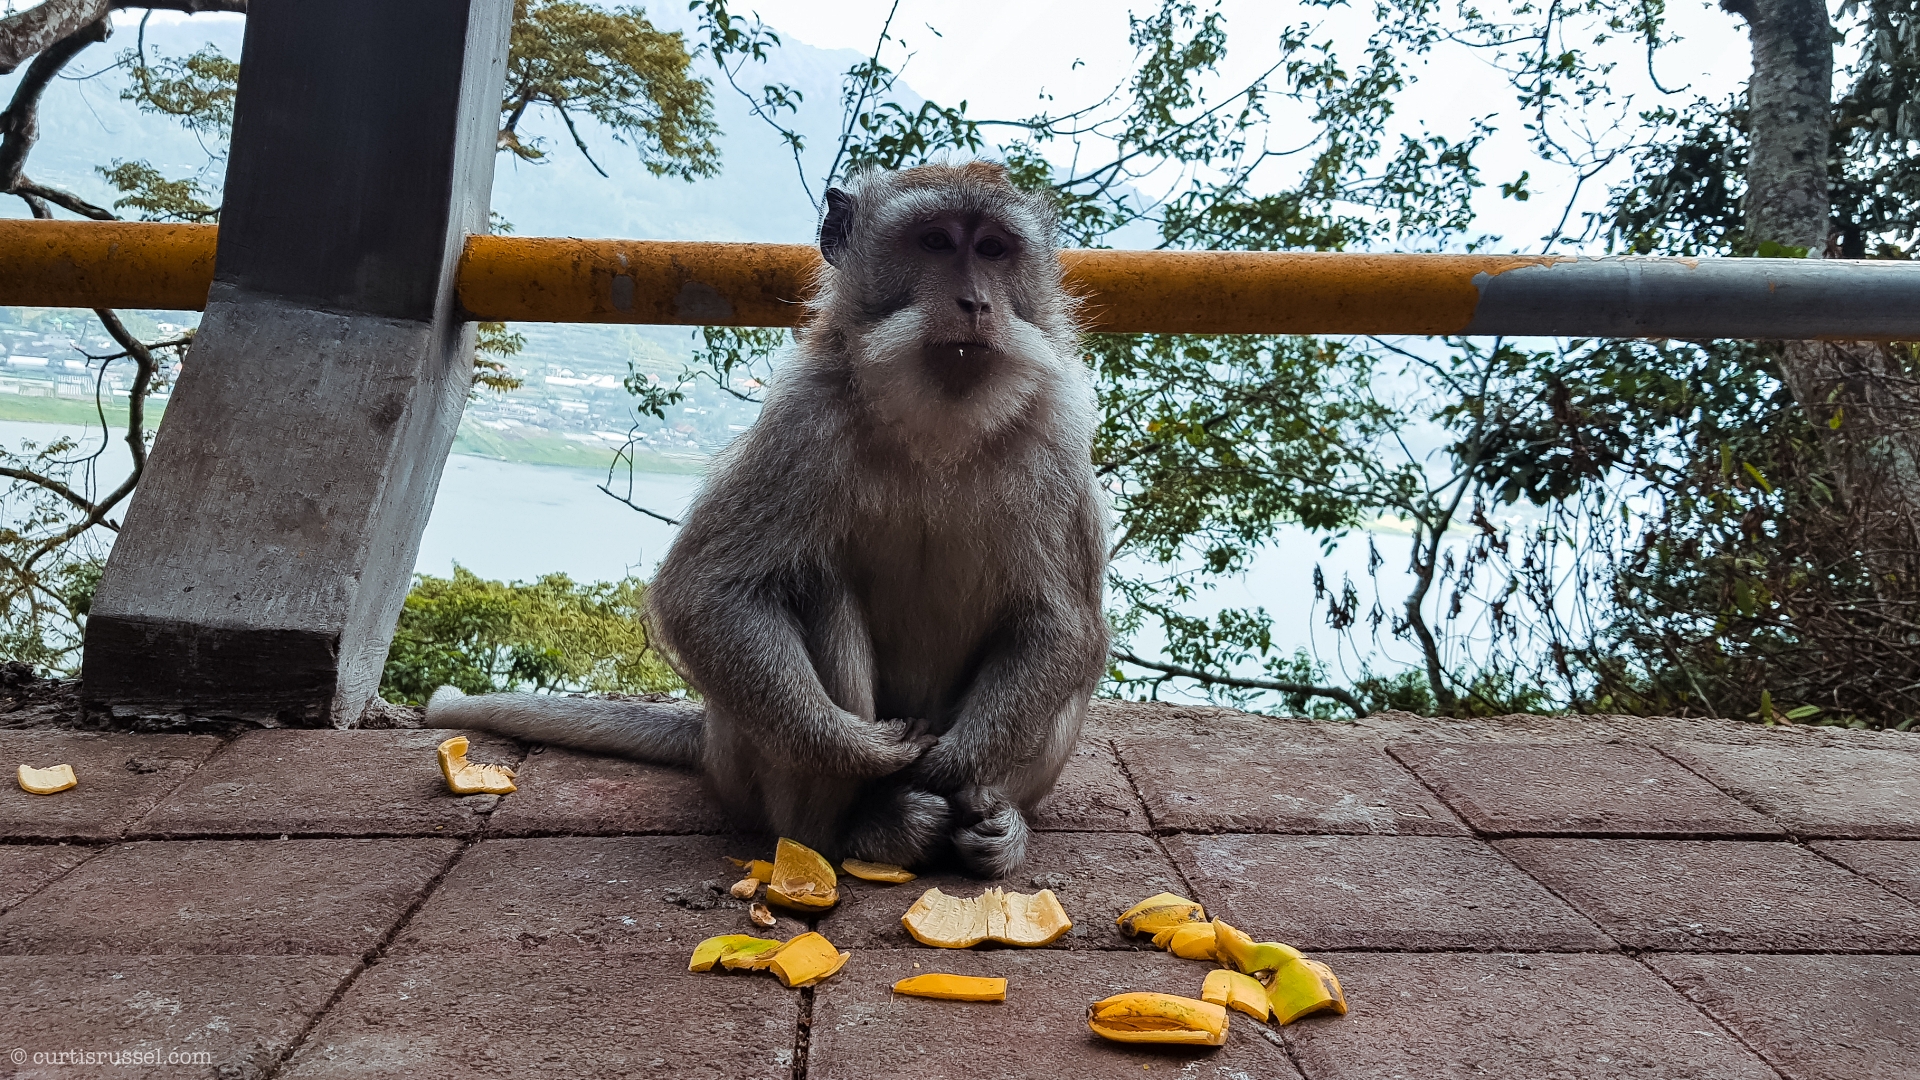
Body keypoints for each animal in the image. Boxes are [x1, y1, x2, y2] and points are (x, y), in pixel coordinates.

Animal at [428, 161, 1110, 877]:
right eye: (936, 242)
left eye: (994, 250)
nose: (976, 303)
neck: (938, 422)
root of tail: (710, 736)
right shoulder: (801, 419)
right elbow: (708, 593)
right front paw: (861, 749)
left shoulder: (1057, 433)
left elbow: (1064, 624)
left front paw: (957, 761)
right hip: (745, 766)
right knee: (810, 580)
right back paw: (862, 831)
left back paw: (994, 825)